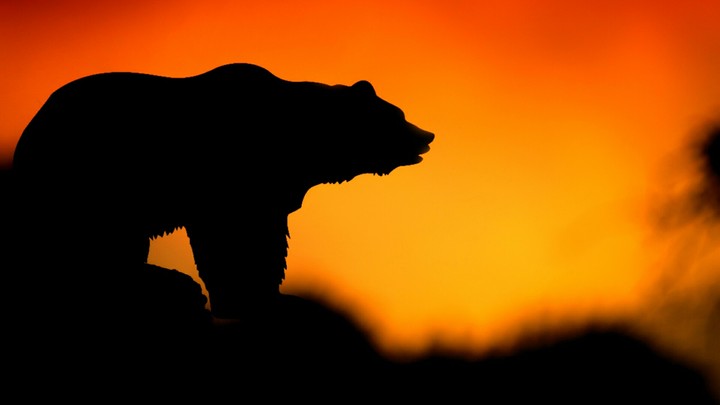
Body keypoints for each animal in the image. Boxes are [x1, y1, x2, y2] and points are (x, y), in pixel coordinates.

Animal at [7, 63, 434, 324]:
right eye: (397, 115)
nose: (426, 135)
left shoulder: (274, 187)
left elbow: (266, 238)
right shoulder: (230, 181)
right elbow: (235, 240)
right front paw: (253, 296)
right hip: (80, 182)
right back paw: (166, 280)